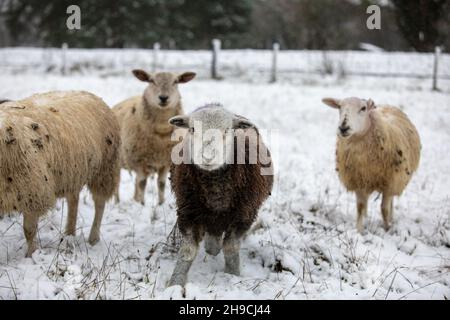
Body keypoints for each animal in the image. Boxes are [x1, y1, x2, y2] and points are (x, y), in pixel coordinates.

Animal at [0, 91, 120, 256]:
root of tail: (91, 95)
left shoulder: (33, 192)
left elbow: (29, 230)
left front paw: (31, 255)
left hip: (105, 170)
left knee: (99, 203)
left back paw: (93, 238)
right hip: (73, 171)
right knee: (73, 201)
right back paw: (69, 234)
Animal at [112, 69, 195, 205]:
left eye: (176, 81)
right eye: (151, 81)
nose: (163, 97)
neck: (161, 130)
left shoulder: (166, 162)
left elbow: (161, 184)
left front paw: (160, 203)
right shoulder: (139, 160)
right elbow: (142, 184)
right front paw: (142, 204)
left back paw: (135, 199)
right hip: (116, 162)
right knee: (117, 184)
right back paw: (117, 202)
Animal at [167, 104, 274, 288]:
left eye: (227, 130)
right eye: (192, 129)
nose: (207, 157)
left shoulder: (244, 215)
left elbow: (230, 248)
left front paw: (233, 276)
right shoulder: (188, 212)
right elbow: (188, 250)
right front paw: (175, 284)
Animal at [322, 96, 420, 231]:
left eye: (363, 108)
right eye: (339, 107)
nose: (343, 128)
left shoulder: (390, 183)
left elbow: (384, 209)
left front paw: (387, 228)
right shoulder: (359, 181)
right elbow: (360, 207)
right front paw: (359, 231)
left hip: (397, 179)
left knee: (390, 203)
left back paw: (391, 220)